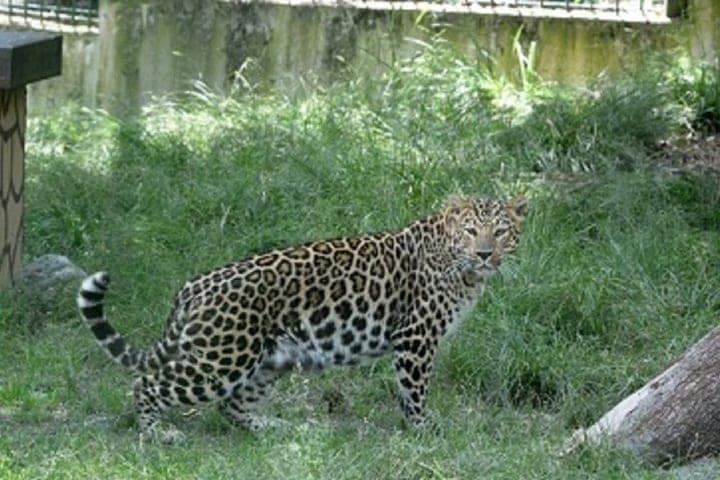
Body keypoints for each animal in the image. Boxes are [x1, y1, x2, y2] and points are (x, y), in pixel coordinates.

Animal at [77, 194, 528, 443]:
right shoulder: (416, 339)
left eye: (501, 232)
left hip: (268, 360)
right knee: (148, 383)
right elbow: (414, 391)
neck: (464, 270)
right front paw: (424, 430)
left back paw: (275, 427)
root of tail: (192, 289)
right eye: (471, 231)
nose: (485, 254)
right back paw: (157, 433)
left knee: (233, 406)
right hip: (222, 359)